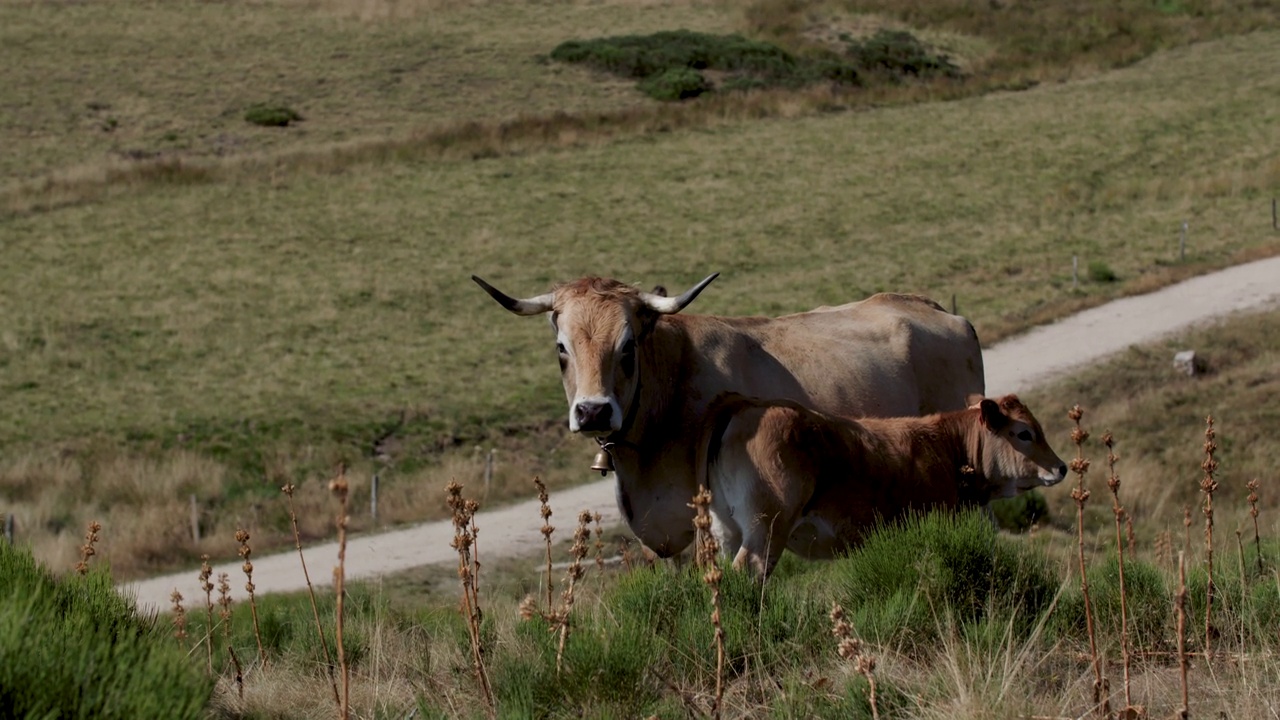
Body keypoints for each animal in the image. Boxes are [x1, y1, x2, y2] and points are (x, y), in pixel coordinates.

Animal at [476, 271, 983, 558]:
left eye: (628, 347)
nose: (594, 411)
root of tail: (938, 311)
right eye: (561, 348)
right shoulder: (662, 534)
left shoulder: (717, 524)